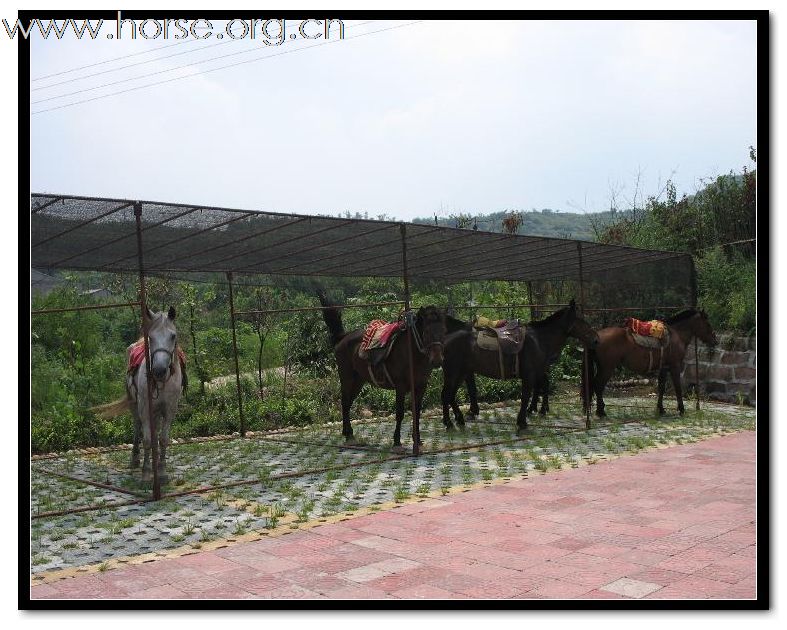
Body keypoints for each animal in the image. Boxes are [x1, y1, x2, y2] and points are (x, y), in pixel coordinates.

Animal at [93, 308, 183, 486]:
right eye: (151, 337)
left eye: (173, 336)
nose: (159, 370)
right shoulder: (145, 408)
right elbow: (147, 440)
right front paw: (146, 473)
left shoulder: (169, 409)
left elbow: (163, 439)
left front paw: (162, 472)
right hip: (135, 405)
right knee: (137, 427)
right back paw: (135, 459)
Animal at [316, 292, 450, 454]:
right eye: (427, 332)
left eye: (444, 331)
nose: (437, 360)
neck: (411, 352)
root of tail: (343, 337)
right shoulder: (400, 386)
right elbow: (400, 413)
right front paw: (397, 442)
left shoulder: (421, 386)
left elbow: (416, 413)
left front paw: (418, 441)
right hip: (347, 378)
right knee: (345, 402)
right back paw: (349, 436)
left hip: (359, 381)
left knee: (348, 403)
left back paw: (349, 434)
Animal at [440, 302, 600, 434]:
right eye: (580, 320)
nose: (596, 339)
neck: (538, 340)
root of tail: (445, 341)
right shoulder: (529, 376)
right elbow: (525, 397)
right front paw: (522, 422)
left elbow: (529, 395)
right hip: (453, 373)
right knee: (446, 395)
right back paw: (449, 423)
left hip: (459, 374)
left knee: (450, 395)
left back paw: (459, 420)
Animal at [584, 308, 720, 418]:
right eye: (707, 323)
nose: (715, 340)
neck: (676, 335)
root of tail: (596, 337)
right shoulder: (674, 366)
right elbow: (677, 388)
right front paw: (681, 410)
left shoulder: (663, 367)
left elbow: (661, 388)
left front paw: (661, 409)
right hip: (607, 368)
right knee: (598, 385)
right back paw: (601, 411)